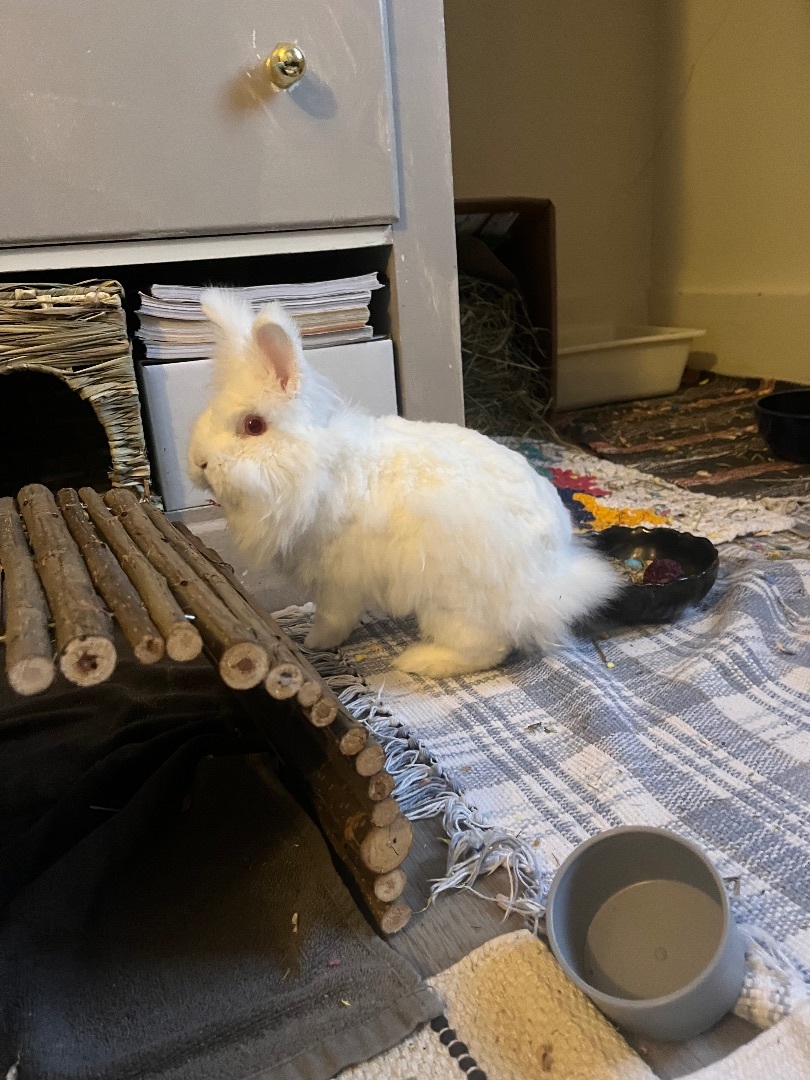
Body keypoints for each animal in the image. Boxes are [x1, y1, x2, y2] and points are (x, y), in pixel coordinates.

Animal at [188, 289, 621, 678]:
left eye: (253, 425)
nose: (199, 463)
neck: (321, 465)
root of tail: (551, 579)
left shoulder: (338, 579)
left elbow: (333, 617)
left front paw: (313, 643)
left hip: (451, 602)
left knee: (487, 648)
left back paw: (421, 661)